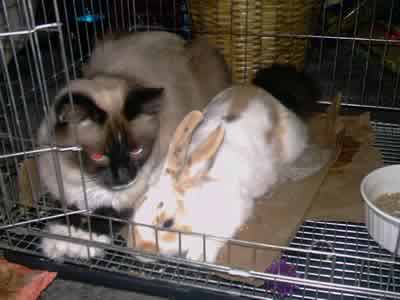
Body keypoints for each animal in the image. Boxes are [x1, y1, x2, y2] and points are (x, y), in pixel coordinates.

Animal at [38, 31, 231, 260]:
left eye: (136, 150)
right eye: (97, 156)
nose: (124, 177)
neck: (85, 181)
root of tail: (181, 39)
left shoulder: (137, 191)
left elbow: (108, 214)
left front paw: (83, 244)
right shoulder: (62, 188)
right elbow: (66, 212)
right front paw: (60, 240)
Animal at [131, 84, 310, 262]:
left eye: (168, 223)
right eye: (137, 207)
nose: (141, 250)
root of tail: (258, 90)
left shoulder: (235, 213)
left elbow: (213, 239)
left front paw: (198, 256)